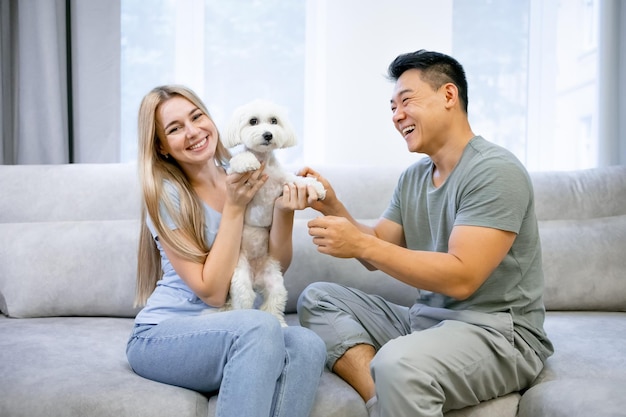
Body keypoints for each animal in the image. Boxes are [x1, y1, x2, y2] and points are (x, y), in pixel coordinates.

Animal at [221, 98, 326, 324]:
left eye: (274, 121)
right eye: (253, 121)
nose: (268, 134)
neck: (264, 162)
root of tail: (255, 278)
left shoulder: (283, 180)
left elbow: (298, 180)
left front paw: (317, 187)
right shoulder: (234, 175)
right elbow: (239, 159)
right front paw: (247, 160)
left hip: (274, 281)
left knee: (273, 302)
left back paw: (280, 324)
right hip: (240, 278)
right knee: (244, 300)